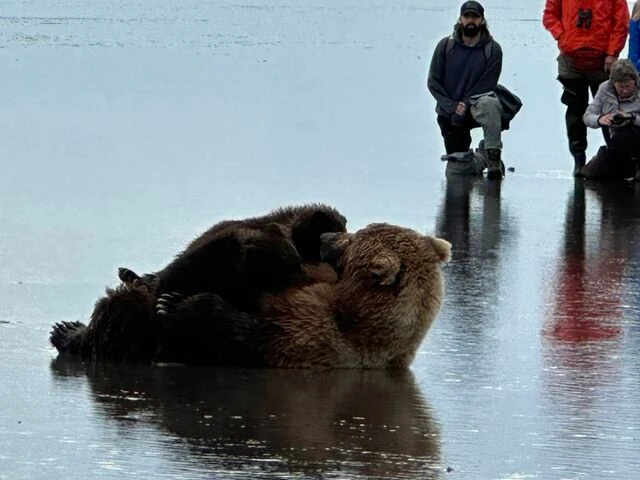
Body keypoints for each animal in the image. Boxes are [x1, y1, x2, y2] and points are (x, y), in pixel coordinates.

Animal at [155, 222, 452, 368]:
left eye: (353, 238)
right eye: (363, 228)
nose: (326, 237)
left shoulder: (301, 338)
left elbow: (234, 331)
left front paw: (173, 305)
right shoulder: (313, 282)